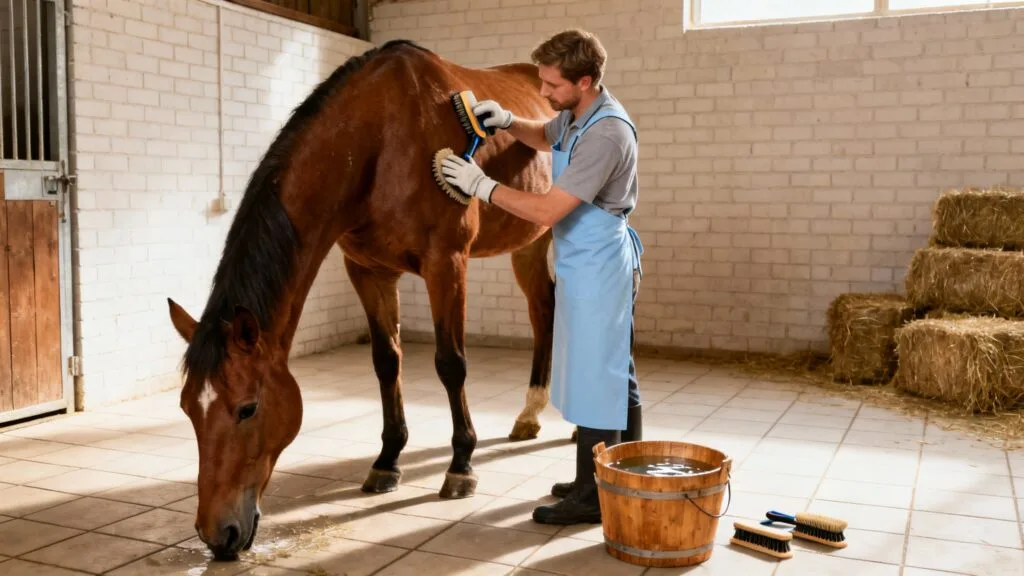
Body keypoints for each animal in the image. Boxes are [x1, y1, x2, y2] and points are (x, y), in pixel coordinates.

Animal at [165, 39, 559, 560]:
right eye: (188, 407)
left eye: (247, 408)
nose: (217, 535)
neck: (378, 138)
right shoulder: (368, 270)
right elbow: (386, 362)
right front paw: (388, 459)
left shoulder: (446, 263)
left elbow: (450, 363)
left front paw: (461, 465)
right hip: (530, 243)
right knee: (543, 309)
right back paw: (530, 414)